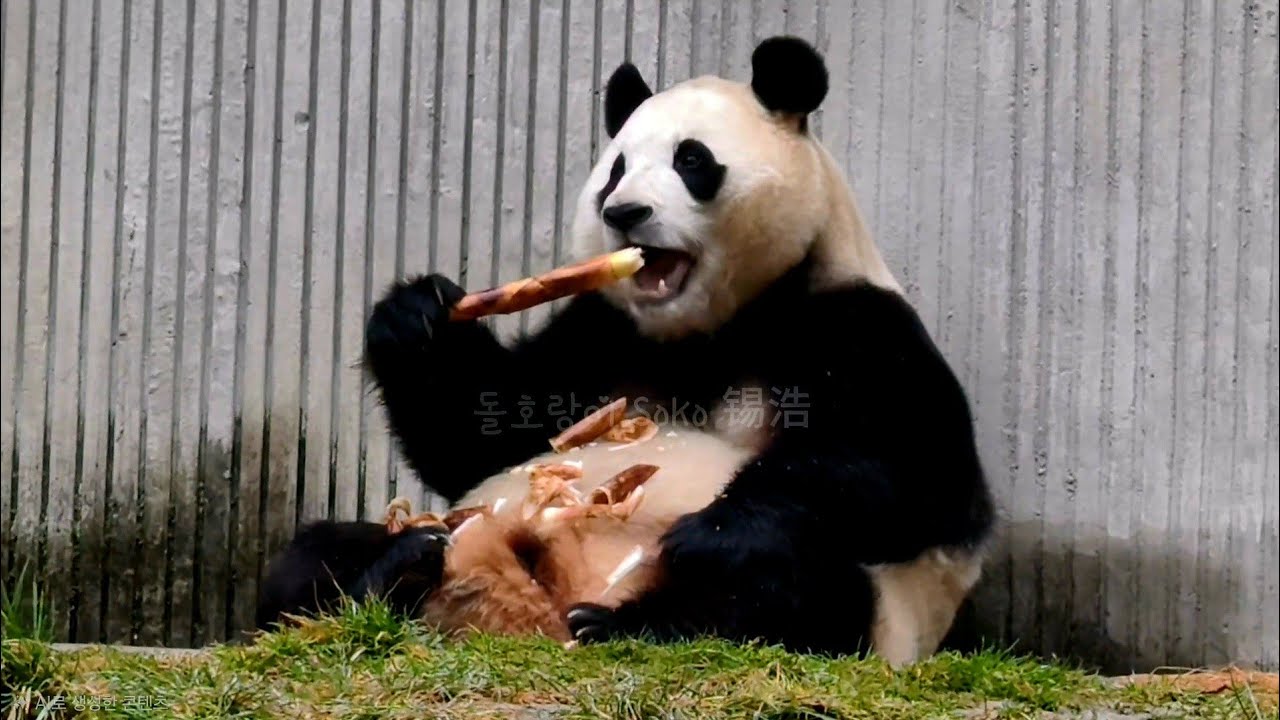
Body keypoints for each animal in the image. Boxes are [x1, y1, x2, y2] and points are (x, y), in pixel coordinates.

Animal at [257, 36, 994, 667]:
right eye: (614, 170)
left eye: (692, 160)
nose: (625, 213)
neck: (711, 325)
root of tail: (531, 607)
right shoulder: (603, 331)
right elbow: (486, 437)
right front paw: (414, 317)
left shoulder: (854, 322)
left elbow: (917, 479)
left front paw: (711, 529)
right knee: (313, 553)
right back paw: (387, 572)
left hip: (877, 614)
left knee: (791, 588)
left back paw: (624, 624)